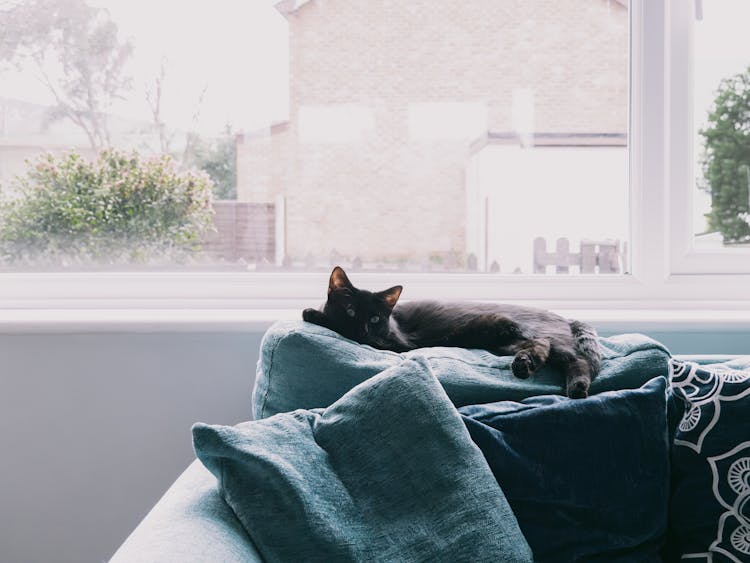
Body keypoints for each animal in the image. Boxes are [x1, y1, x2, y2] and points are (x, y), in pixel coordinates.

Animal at [302, 266, 604, 398]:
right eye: (350, 311)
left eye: (375, 318)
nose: (364, 331)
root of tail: (562, 316)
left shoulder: (397, 344)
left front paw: (312, 313)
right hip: (507, 342)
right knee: (541, 348)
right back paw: (523, 366)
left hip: (533, 332)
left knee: (574, 358)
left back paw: (576, 387)